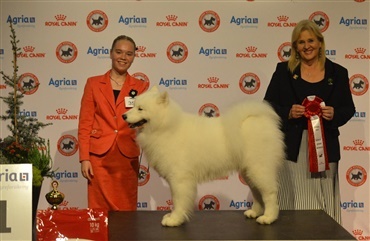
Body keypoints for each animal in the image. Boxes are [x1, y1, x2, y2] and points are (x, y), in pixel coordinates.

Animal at [123, 86, 284, 226]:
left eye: (140, 108)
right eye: (133, 105)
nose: (123, 115)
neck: (165, 127)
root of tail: (257, 118)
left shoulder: (179, 178)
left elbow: (178, 200)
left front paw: (175, 219)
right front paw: (173, 216)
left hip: (259, 169)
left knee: (269, 194)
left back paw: (268, 217)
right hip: (248, 172)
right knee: (257, 193)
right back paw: (255, 212)